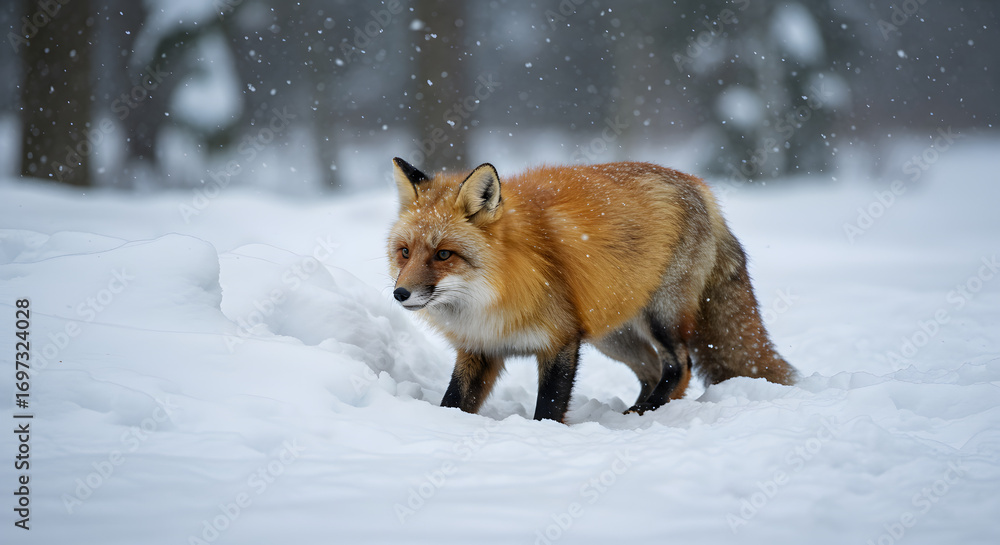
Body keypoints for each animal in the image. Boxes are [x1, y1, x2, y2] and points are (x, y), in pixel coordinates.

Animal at [387, 157, 797, 423]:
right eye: (405, 252)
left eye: (443, 254)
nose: (400, 294)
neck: (492, 294)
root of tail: (700, 187)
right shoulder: (480, 348)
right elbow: (454, 401)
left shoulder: (561, 339)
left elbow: (549, 407)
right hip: (612, 333)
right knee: (652, 369)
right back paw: (635, 412)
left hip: (660, 316)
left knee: (680, 366)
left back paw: (643, 414)